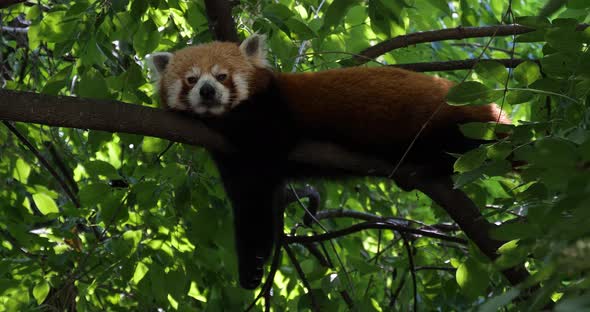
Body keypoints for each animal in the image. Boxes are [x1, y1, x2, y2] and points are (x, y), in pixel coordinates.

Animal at [147, 34, 508, 290]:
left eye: (222, 77)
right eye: (191, 79)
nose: (207, 92)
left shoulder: (272, 114)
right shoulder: (239, 165)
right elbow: (253, 207)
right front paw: (252, 267)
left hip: (456, 123)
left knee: (464, 146)